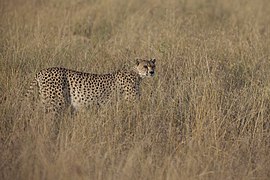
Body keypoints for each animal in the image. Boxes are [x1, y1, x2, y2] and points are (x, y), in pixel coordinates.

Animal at [25, 58, 156, 114]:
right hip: (55, 104)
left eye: (153, 65)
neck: (137, 74)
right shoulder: (131, 102)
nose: (152, 72)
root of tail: (42, 71)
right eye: (145, 66)